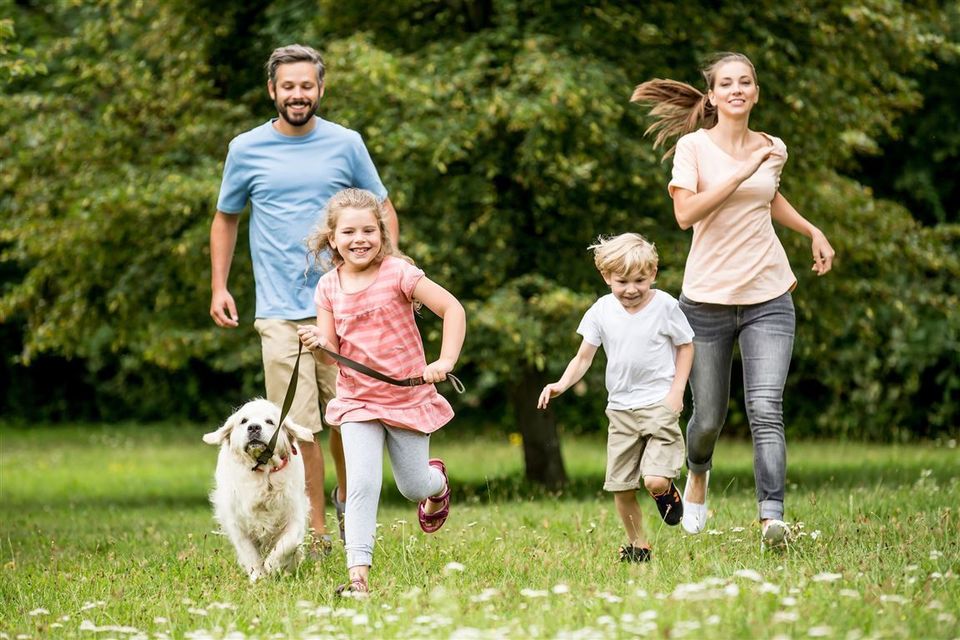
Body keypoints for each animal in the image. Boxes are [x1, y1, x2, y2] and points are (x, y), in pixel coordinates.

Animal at [202, 398, 316, 584]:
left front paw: (273, 565)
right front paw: (258, 576)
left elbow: (287, 543)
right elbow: (249, 552)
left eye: (269, 421)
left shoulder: (295, 515)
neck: (264, 474)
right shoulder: (237, 523)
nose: (254, 427)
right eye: (243, 421)